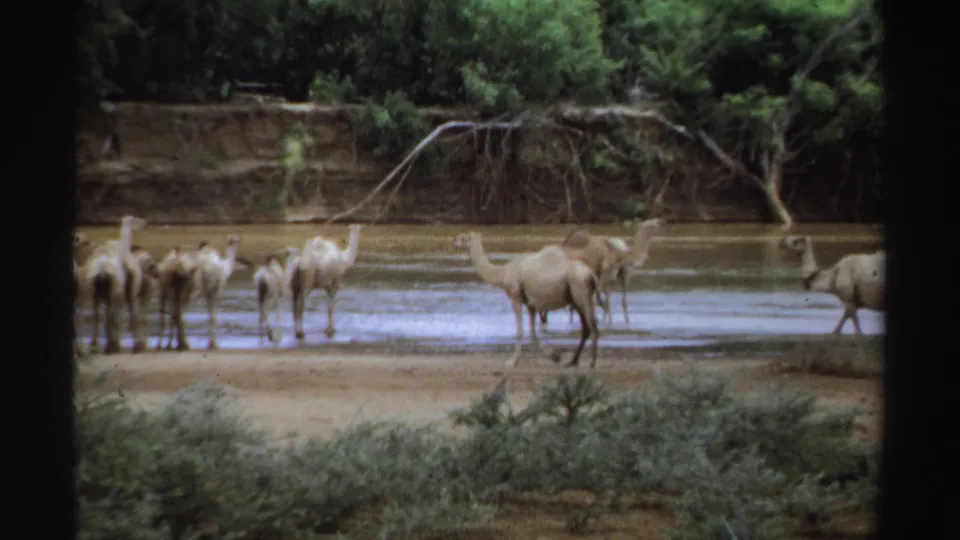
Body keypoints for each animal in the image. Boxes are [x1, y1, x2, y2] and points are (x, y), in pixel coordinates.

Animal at [83, 215, 147, 354]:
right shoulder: (120, 292)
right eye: (135, 220)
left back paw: (96, 345)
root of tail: (102, 269)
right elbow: (120, 316)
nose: (145, 223)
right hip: (113, 290)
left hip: (94, 291)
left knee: (97, 316)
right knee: (114, 316)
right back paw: (113, 347)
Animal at [453, 231, 604, 368]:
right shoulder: (530, 303)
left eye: (464, 237)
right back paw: (572, 361)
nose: (454, 241)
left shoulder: (515, 297)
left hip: (580, 290)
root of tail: (590, 275)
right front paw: (555, 356)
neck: (502, 273)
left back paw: (591, 362)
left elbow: (520, 332)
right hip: (576, 297)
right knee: (586, 328)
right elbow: (532, 333)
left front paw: (512, 361)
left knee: (592, 326)